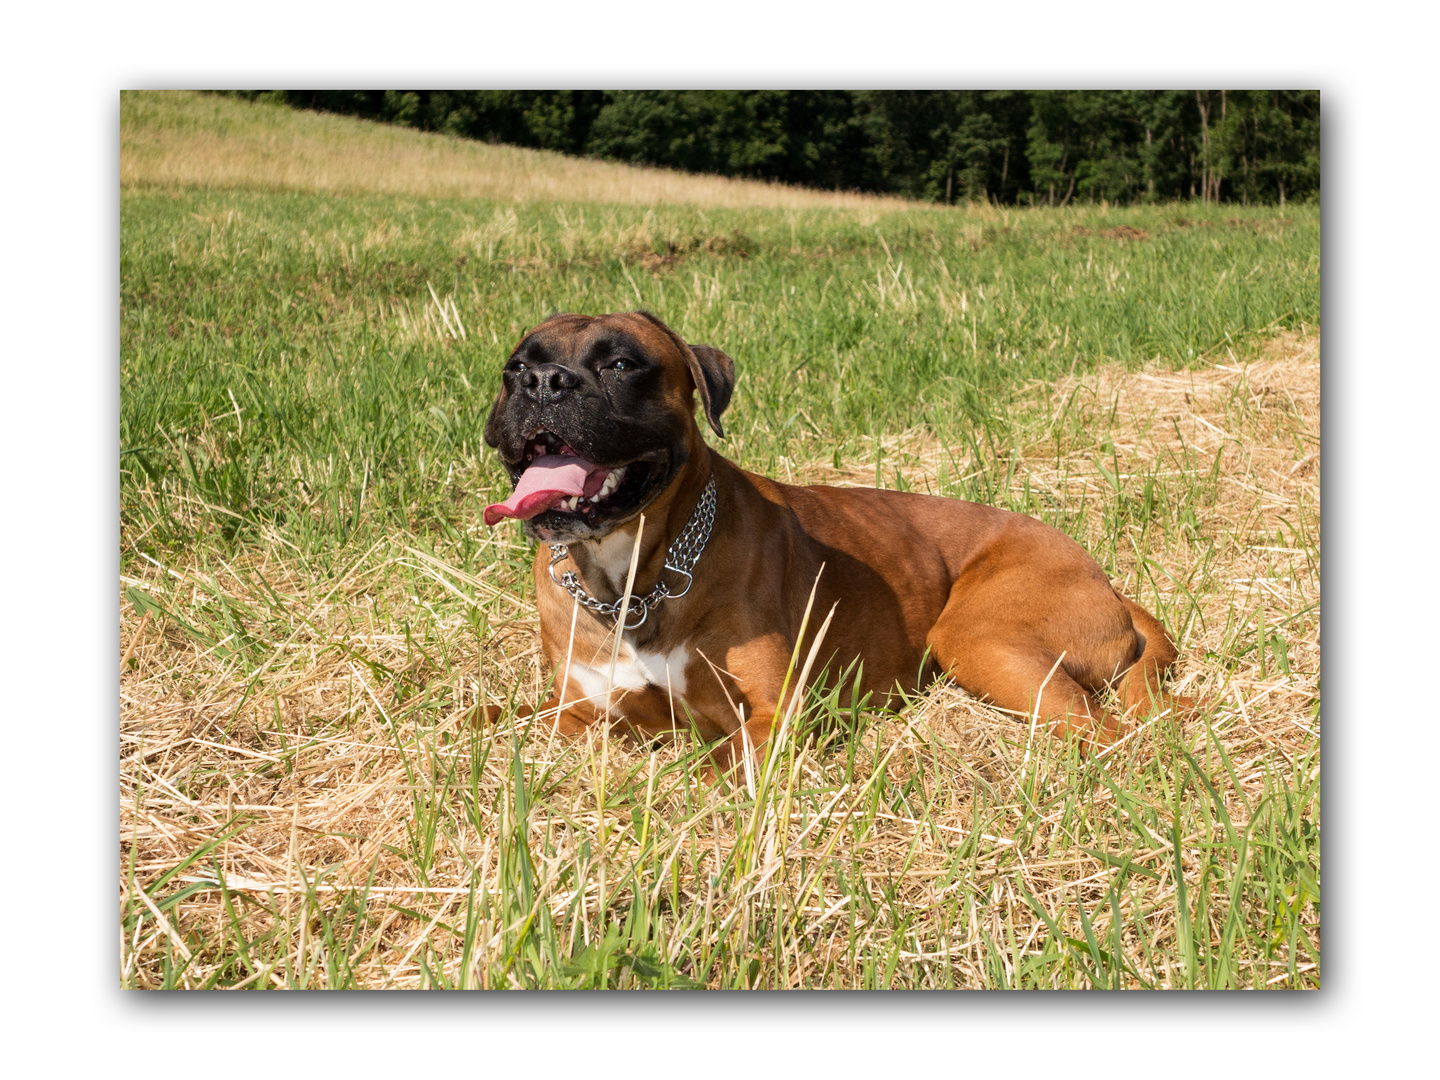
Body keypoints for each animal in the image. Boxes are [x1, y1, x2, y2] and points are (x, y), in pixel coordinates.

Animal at [478, 308, 1198, 771]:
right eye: (514, 367)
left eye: (623, 364)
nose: (542, 383)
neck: (631, 580)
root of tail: (1105, 579)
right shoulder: (573, 710)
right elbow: (495, 718)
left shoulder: (773, 715)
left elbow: (709, 768)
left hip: (980, 639)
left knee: (1101, 727)